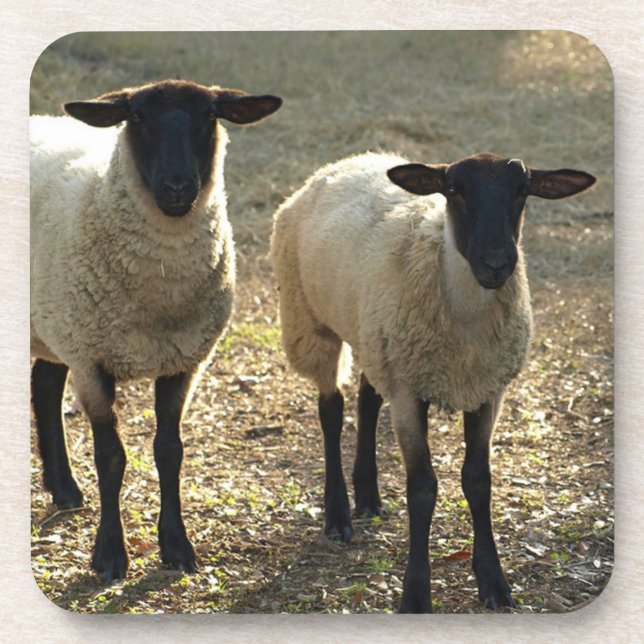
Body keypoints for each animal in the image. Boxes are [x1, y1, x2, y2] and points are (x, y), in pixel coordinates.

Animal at [31, 79, 282, 581]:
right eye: (137, 118)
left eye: (209, 116)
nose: (177, 186)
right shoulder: (91, 359)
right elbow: (111, 457)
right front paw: (110, 555)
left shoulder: (183, 361)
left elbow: (170, 451)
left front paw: (177, 547)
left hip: (55, 324)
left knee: (45, 383)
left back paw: (64, 490)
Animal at [270, 151, 596, 612]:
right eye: (454, 189)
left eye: (522, 190)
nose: (497, 262)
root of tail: (348, 160)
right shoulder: (409, 393)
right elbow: (422, 488)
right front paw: (416, 594)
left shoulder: (487, 390)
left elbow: (478, 481)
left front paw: (494, 583)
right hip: (310, 322)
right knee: (331, 409)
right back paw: (338, 515)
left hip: (376, 338)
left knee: (367, 400)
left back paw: (368, 496)